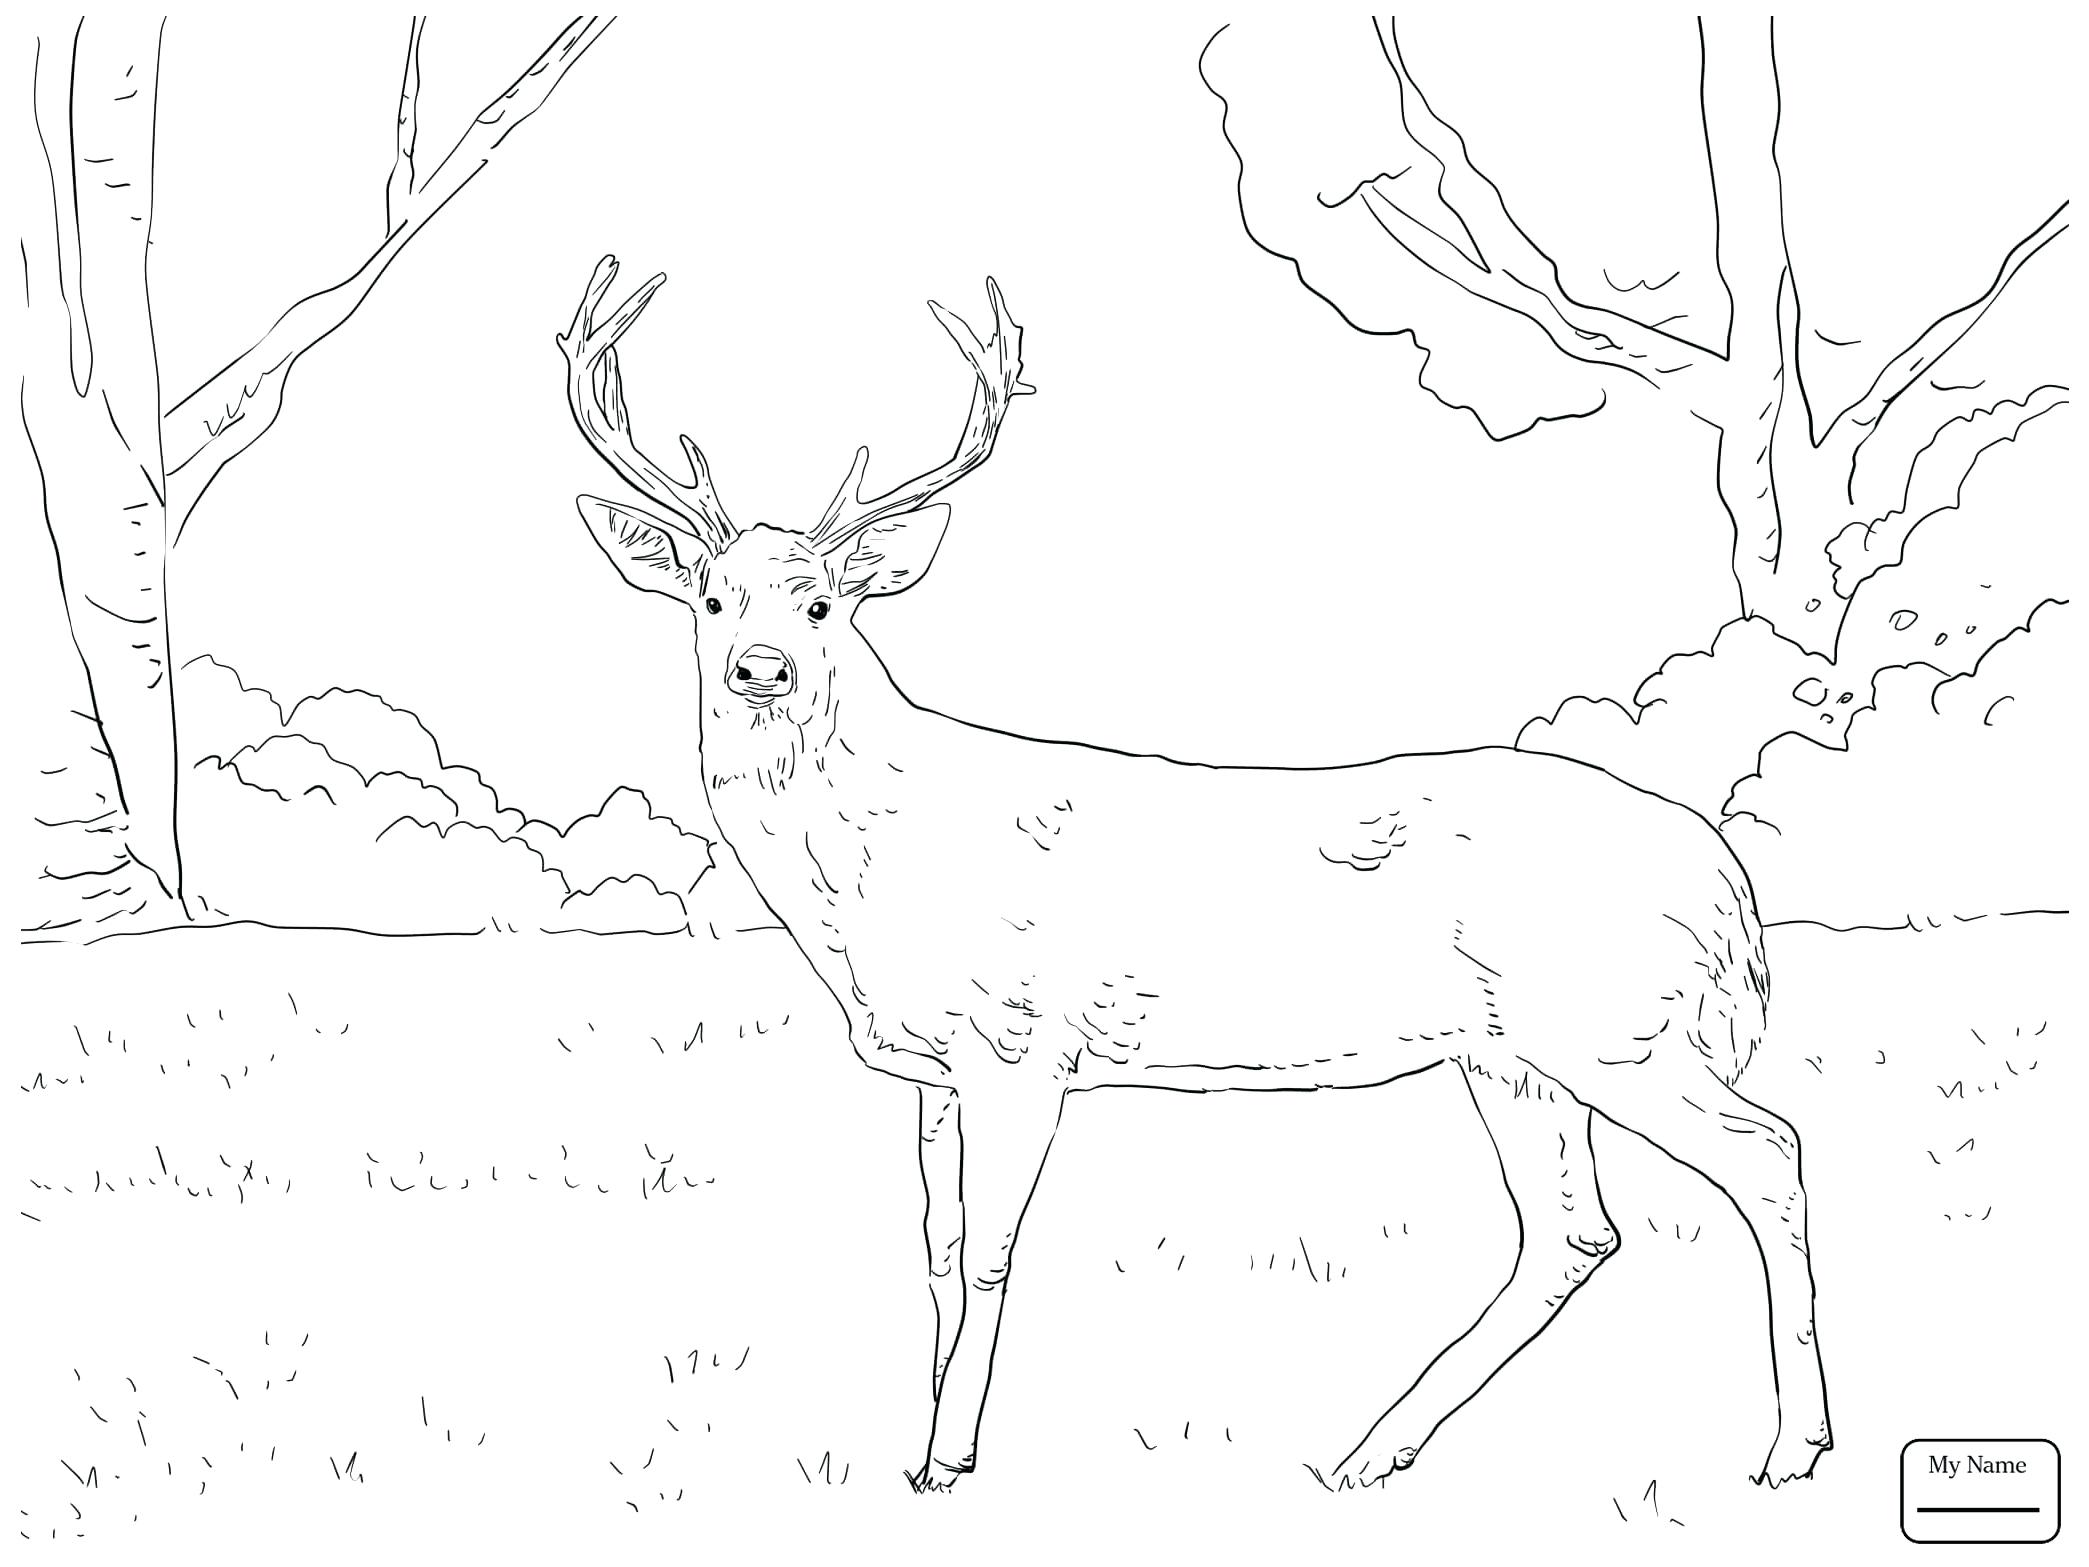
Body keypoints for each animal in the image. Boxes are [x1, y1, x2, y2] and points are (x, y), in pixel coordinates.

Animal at [555, 255, 1831, 1494]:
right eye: (709, 599)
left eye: (822, 603)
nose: (761, 666)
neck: (874, 874)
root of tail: (1726, 884)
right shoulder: (930, 1068)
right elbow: (934, 1251)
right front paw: (916, 1444)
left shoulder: (1023, 1048)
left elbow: (990, 1255)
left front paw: (952, 1459)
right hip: (1515, 1057)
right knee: (1576, 1233)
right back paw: (1366, 1452)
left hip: (1621, 1031)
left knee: (1767, 1153)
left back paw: (1790, 1449)